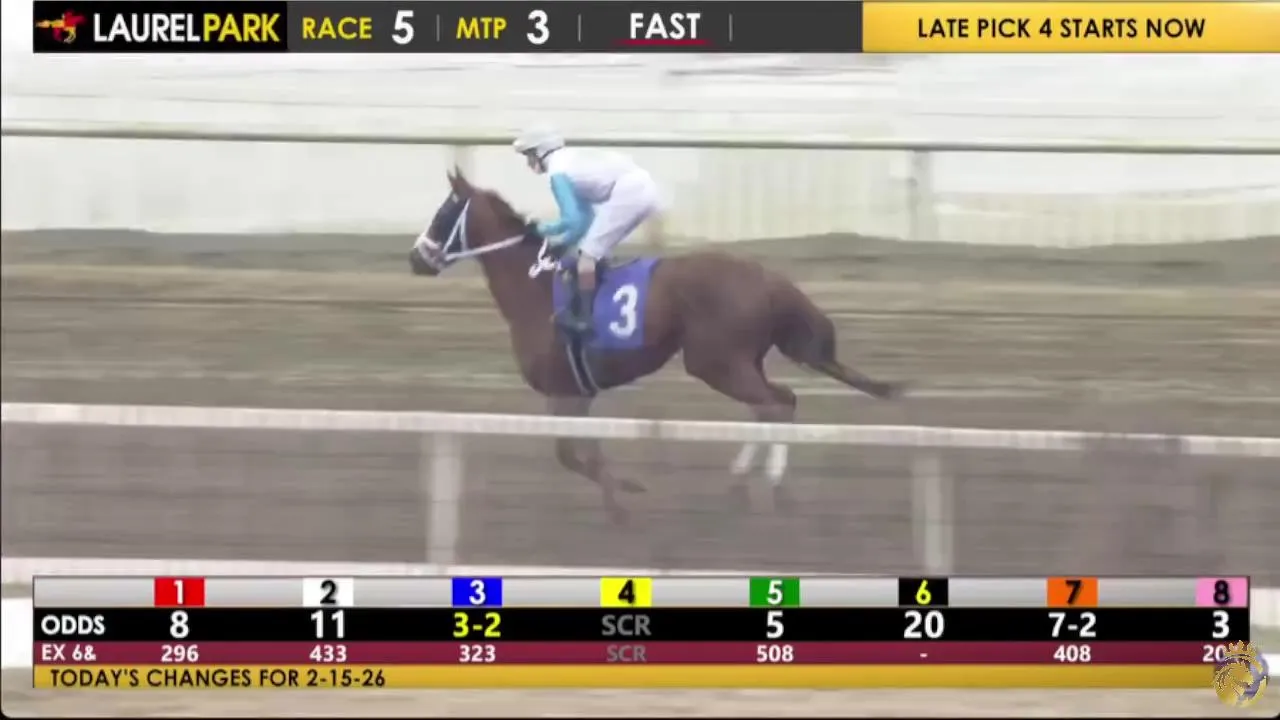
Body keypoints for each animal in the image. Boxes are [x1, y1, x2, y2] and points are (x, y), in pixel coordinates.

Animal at [410, 168, 904, 524]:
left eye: (442, 215)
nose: (416, 258)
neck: (534, 288)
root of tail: (768, 277)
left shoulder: (563, 390)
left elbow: (570, 455)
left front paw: (624, 501)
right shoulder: (579, 393)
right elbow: (586, 452)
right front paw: (622, 495)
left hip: (714, 361)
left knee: (777, 404)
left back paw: (772, 486)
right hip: (740, 360)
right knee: (774, 403)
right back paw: (740, 482)